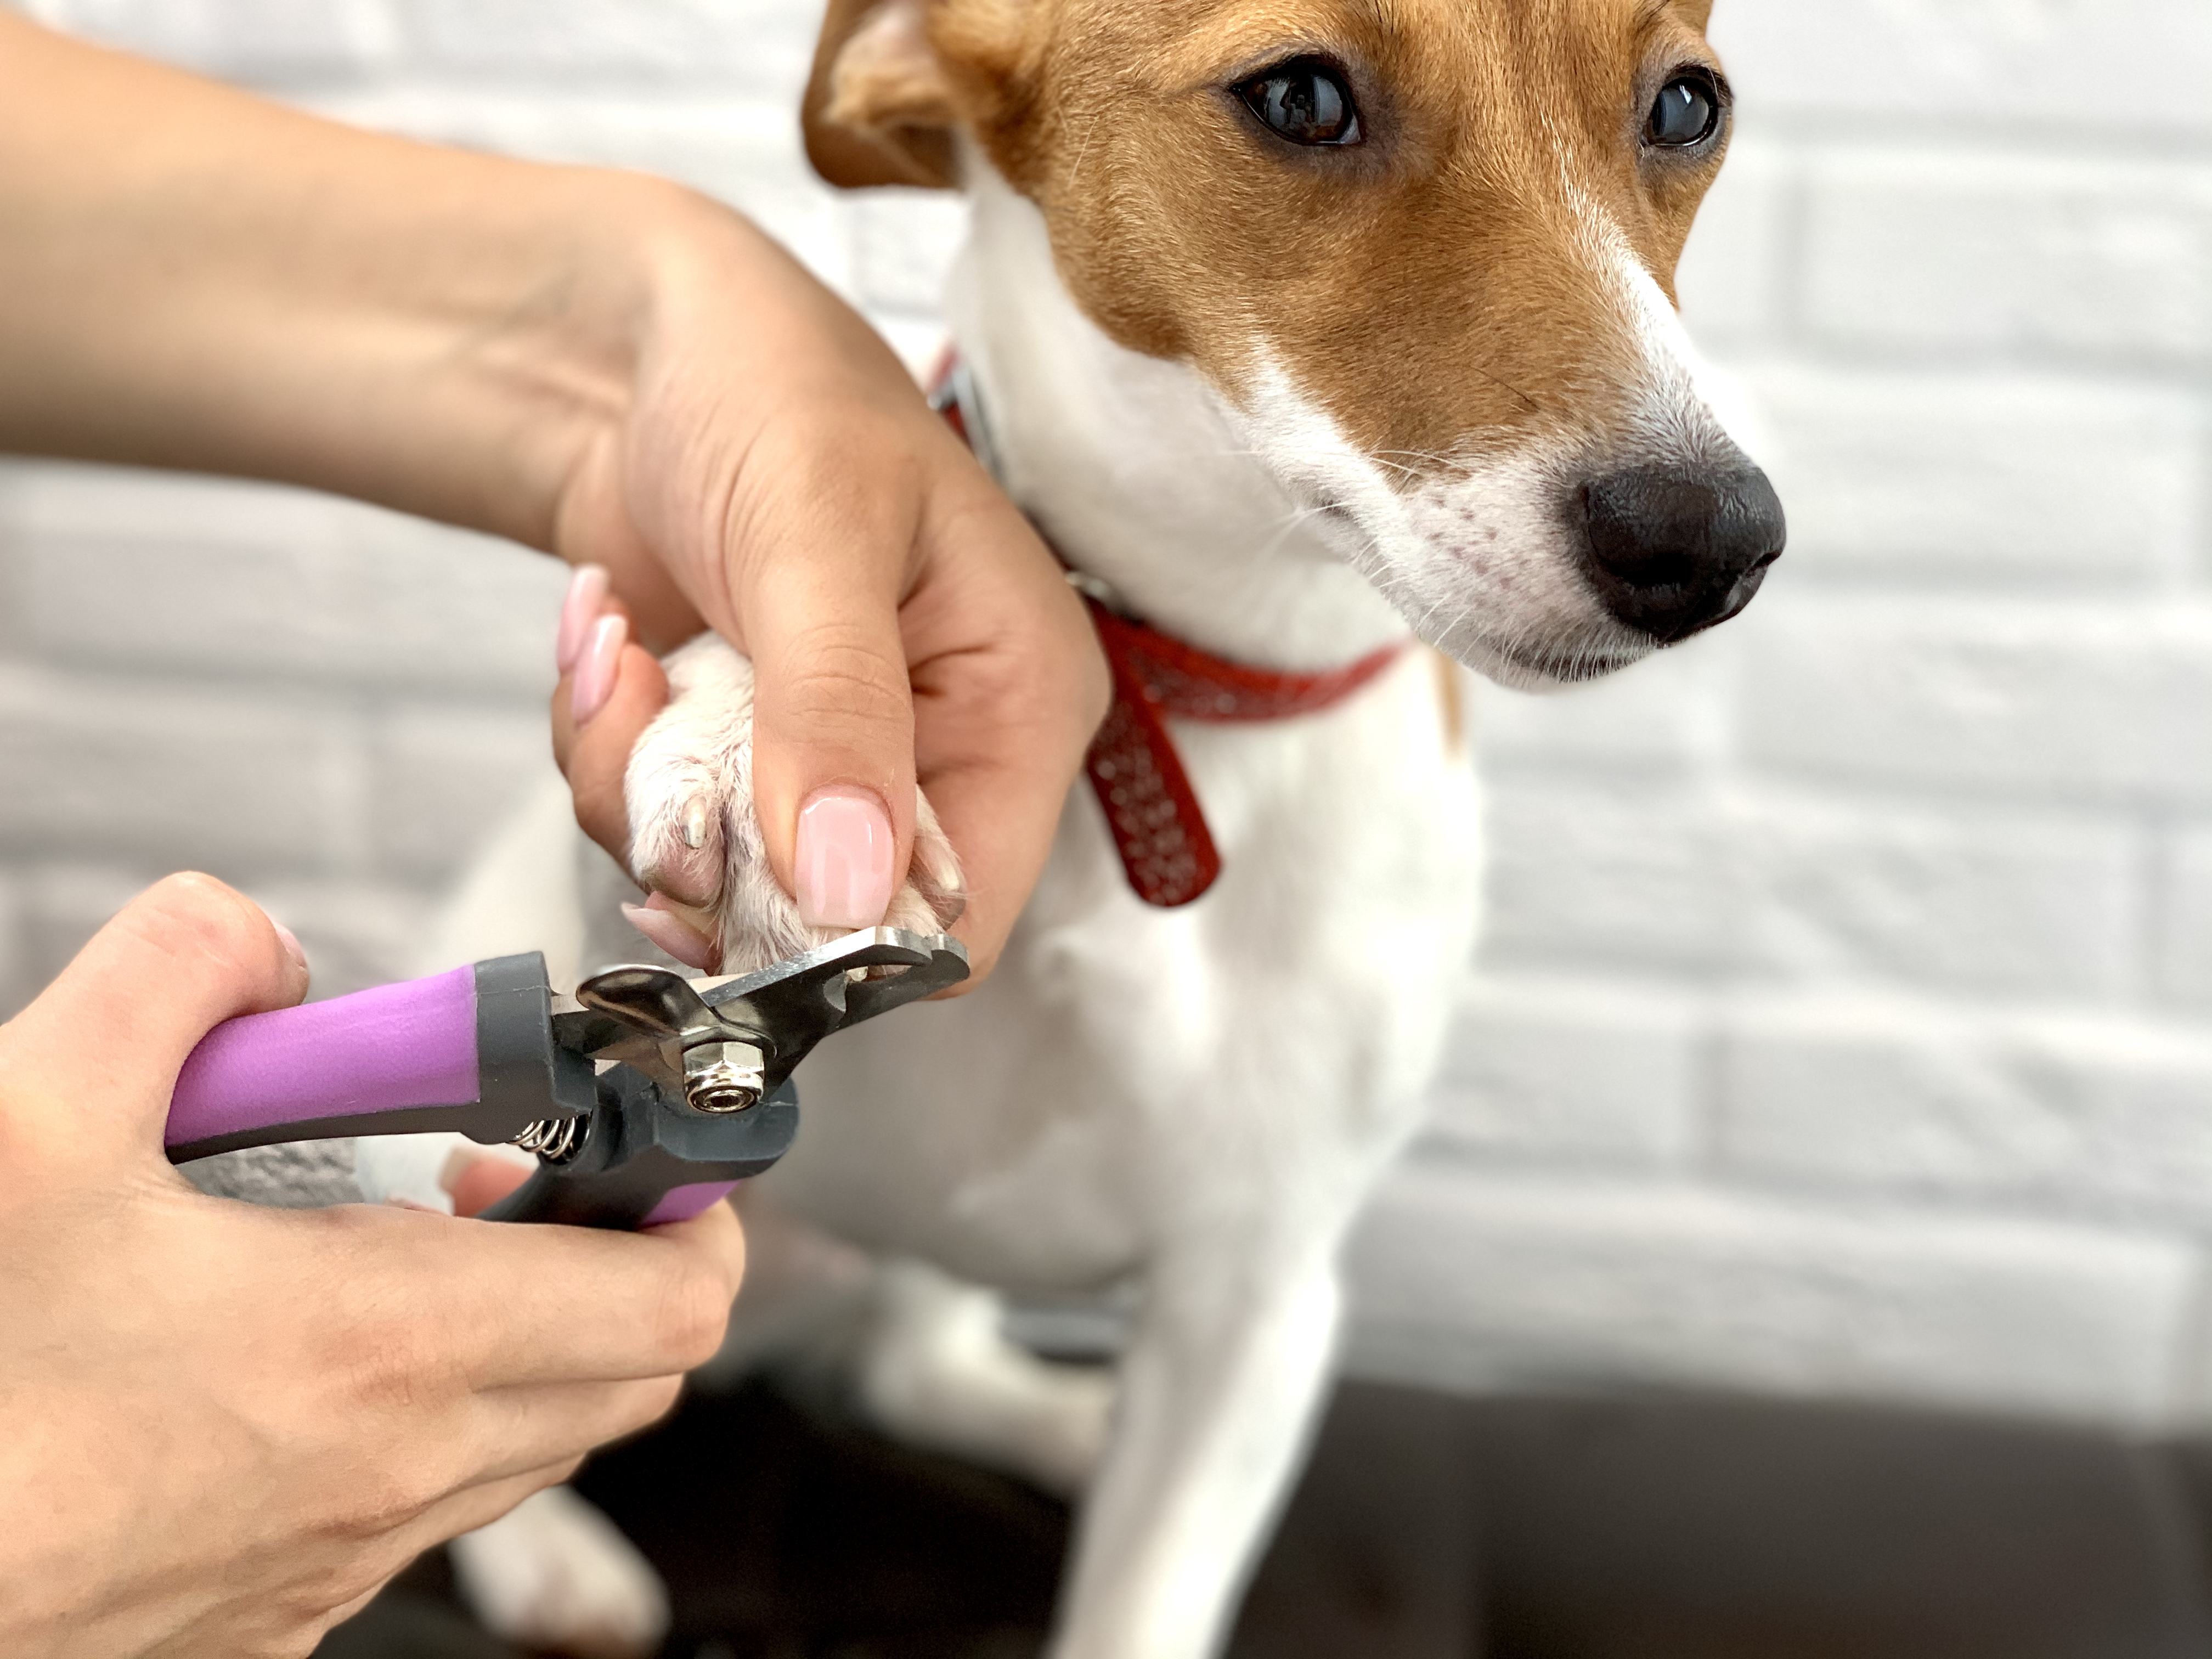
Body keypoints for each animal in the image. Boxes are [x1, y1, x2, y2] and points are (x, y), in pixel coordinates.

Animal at [358, 6, 1778, 1654]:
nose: (1713, 542)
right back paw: (553, 1562)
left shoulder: (1258, 1301)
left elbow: (1145, 1594)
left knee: (900, 1365)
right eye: (1303, 96)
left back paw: (1058, 1420)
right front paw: (746, 732)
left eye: (1687, 108)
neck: (1178, 685)